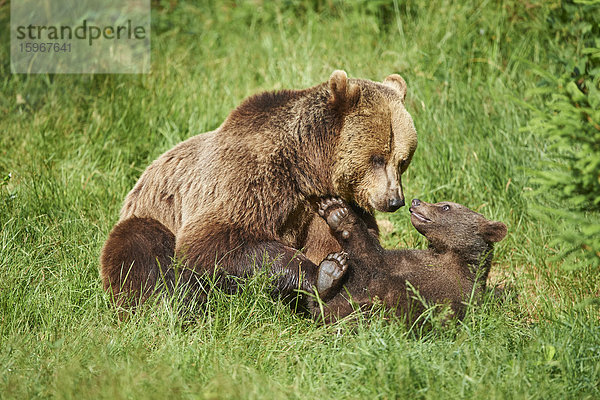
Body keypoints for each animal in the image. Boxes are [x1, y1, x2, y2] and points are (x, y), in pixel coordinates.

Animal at [99, 69, 418, 306]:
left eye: (402, 160)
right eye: (376, 158)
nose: (394, 201)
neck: (307, 167)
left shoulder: (319, 204)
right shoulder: (252, 177)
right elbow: (216, 241)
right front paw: (322, 274)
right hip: (154, 215)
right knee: (140, 246)